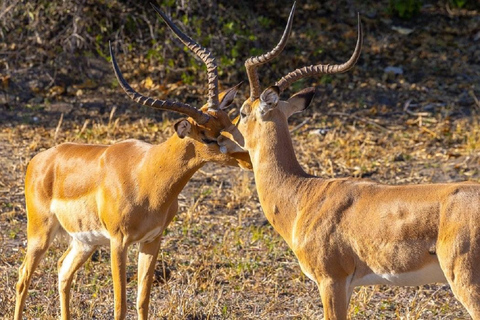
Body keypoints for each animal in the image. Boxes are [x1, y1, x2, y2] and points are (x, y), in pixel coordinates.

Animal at [14, 5, 251, 320]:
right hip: (40, 234)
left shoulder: (152, 240)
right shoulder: (119, 242)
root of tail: (38, 160)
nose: (248, 158)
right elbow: (120, 305)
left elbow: (142, 300)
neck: (147, 176)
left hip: (84, 242)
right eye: (208, 137)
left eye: (229, 121)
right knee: (23, 277)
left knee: (63, 272)